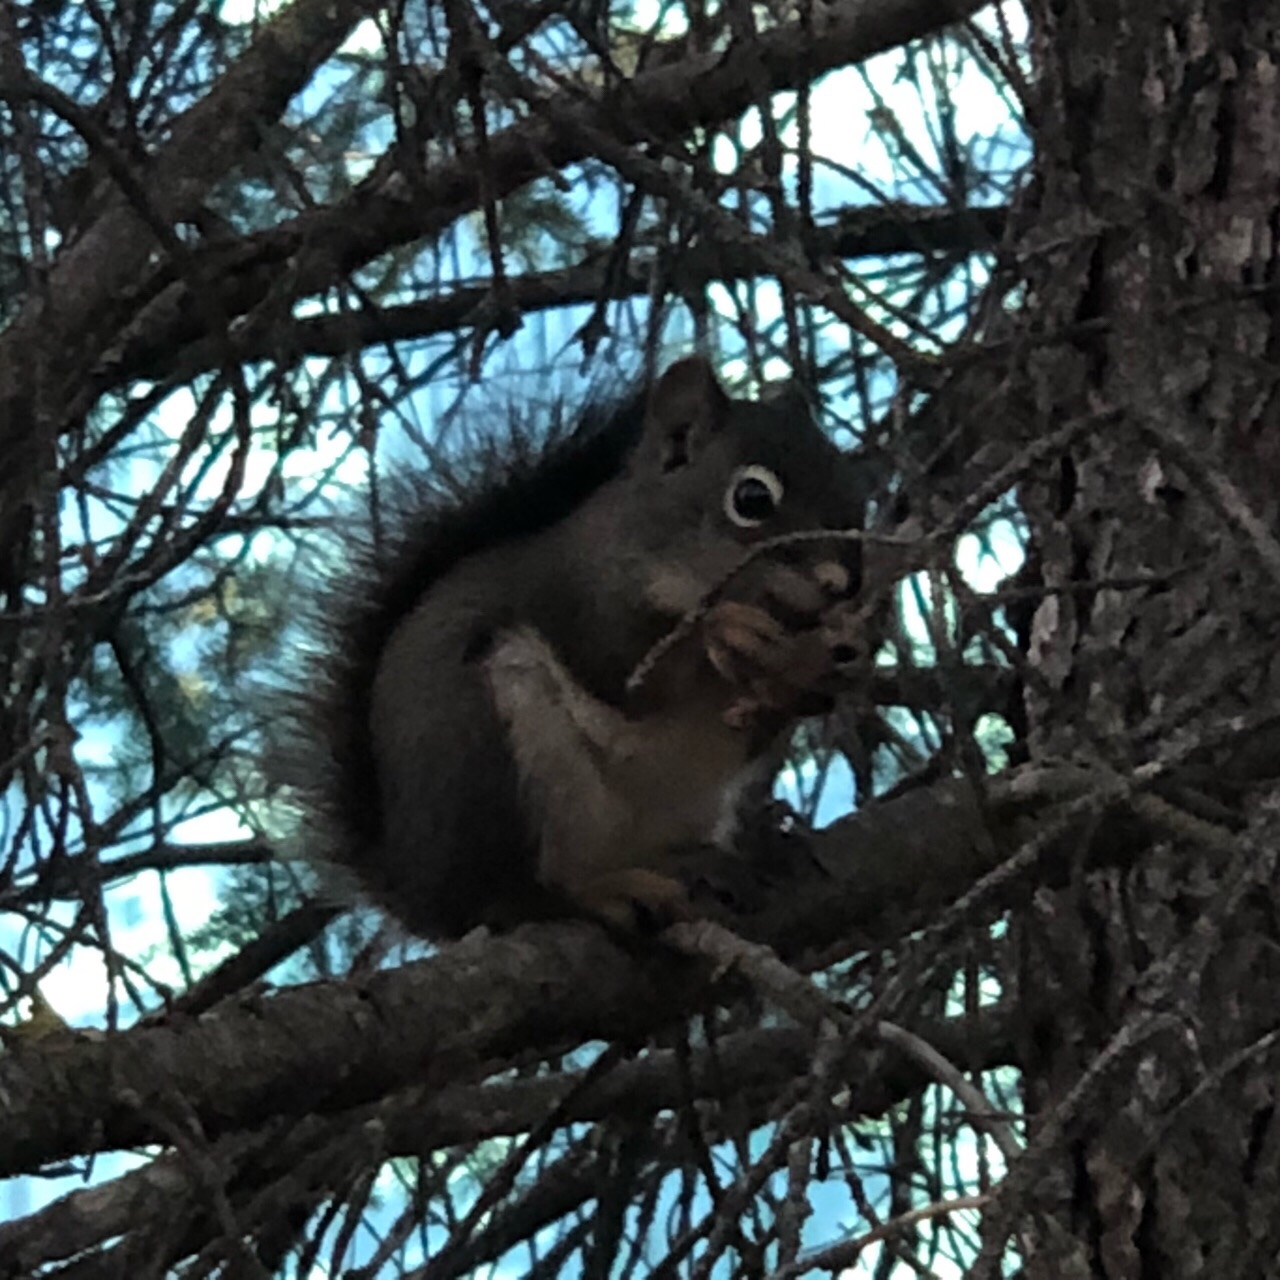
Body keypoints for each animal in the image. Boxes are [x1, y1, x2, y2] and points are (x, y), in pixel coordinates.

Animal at [289, 355, 865, 936]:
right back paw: (603, 894)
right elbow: (625, 674)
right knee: (513, 901)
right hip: (481, 752)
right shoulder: (583, 606)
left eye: (855, 491)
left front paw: (821, 664)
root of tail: (420, 894)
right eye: (751, 499)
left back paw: (723, 858)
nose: (844, 583)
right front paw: (727, 629)